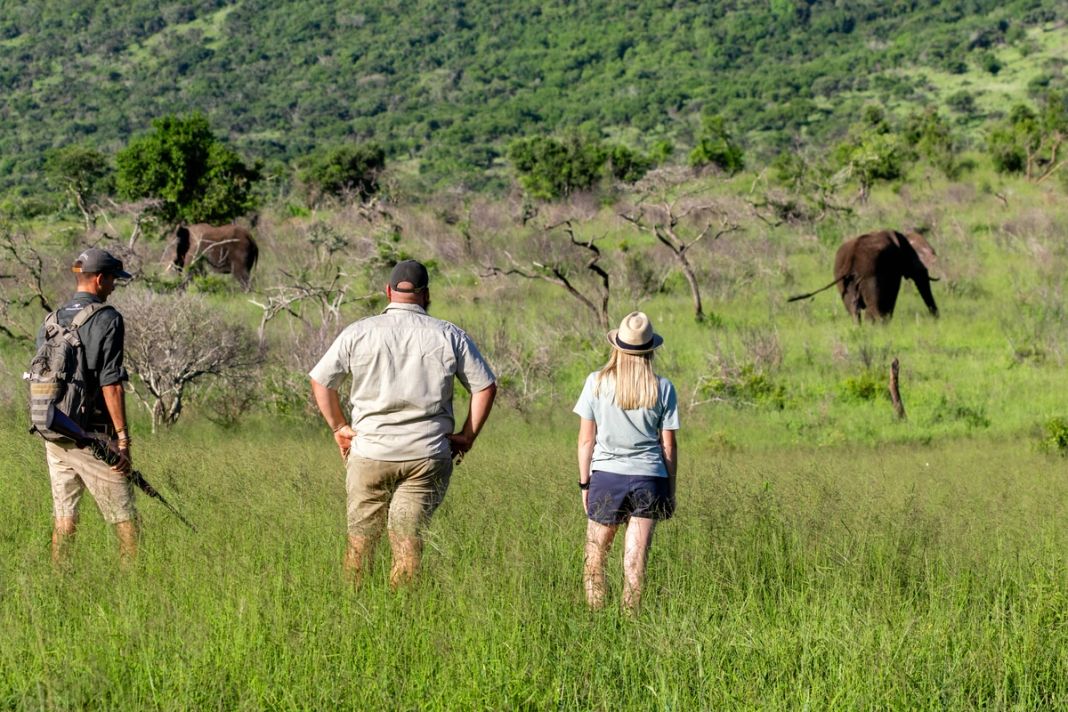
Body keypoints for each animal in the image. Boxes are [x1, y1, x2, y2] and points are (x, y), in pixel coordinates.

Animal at [789, 229, 939, 322]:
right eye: (914, 255)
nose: (936, 318)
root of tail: (850, 260)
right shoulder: (893, 267)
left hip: (844, 281)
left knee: (853, 310)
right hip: (869, 277)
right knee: (872, 307)